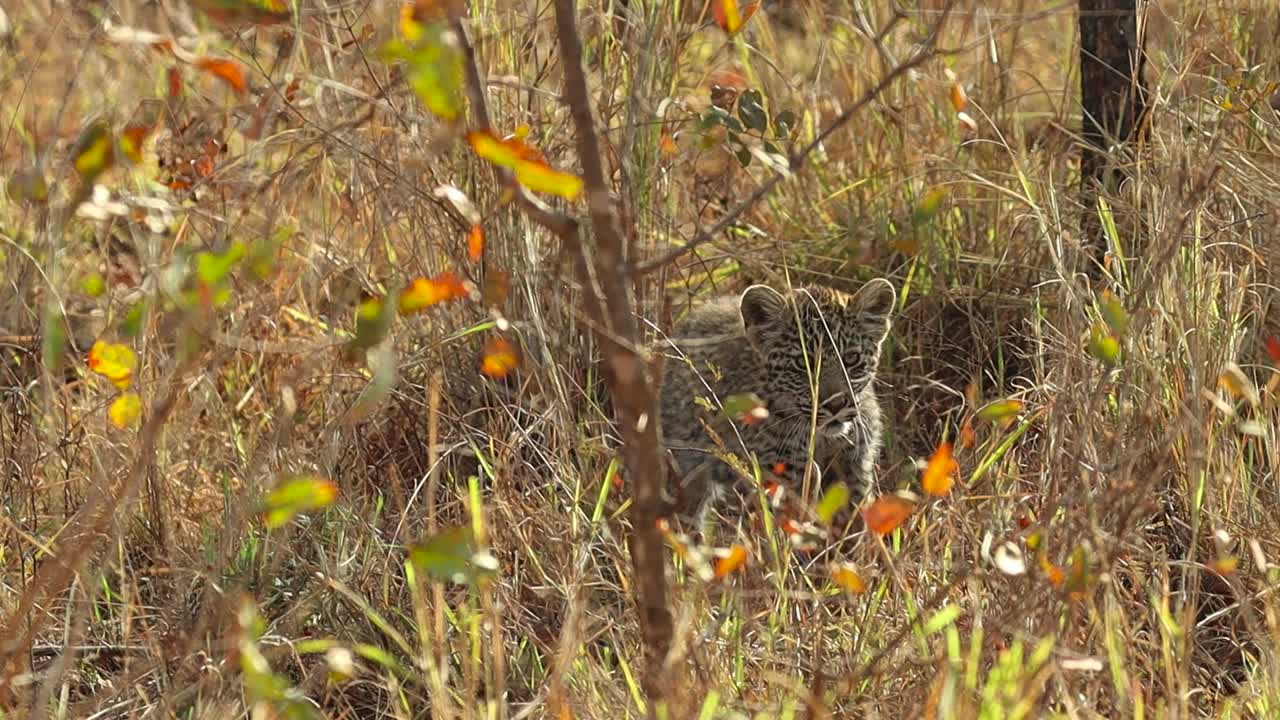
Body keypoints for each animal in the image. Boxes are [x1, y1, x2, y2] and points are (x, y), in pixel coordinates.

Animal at [656, 279, 896, 532]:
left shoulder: (855, 463)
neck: (822, 437)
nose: (836, 405)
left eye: (851, 359)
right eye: (802, 364)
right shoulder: (782, 472)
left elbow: (854, 518)